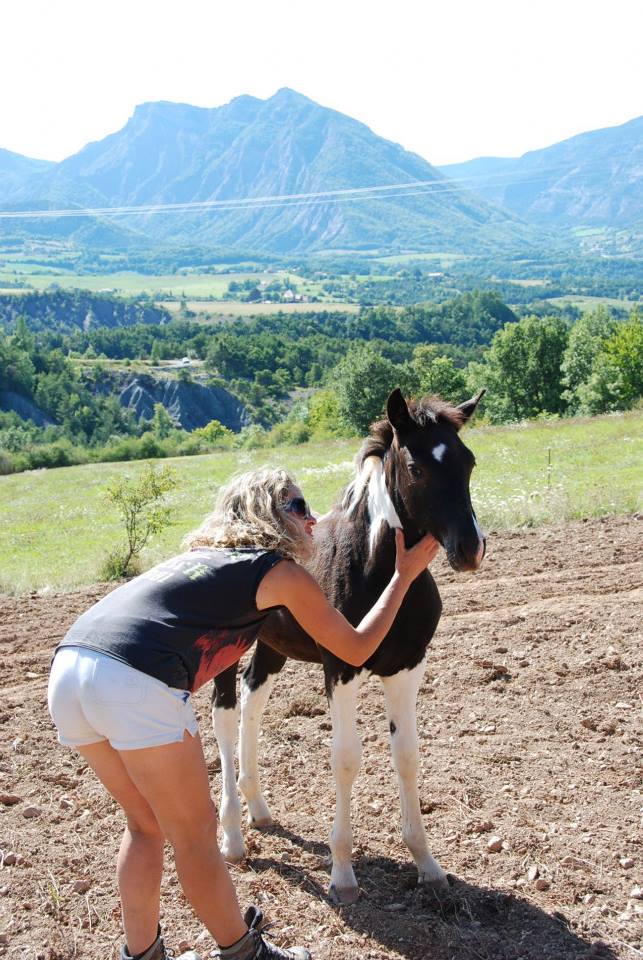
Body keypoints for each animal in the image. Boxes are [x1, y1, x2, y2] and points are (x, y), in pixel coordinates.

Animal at [212, 388, 486, 904]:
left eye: (469, 461)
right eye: (417, 468)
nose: (470, 549)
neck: (381, 570)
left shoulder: (408, 668)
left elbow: (407, 755)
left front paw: (427, 864)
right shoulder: (340, 667)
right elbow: (345, 759)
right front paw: (342, 873)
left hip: (273, 645)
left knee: (252, 698)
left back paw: (259, 808)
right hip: (225, 651)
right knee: (223, 716)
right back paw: (233, 836)